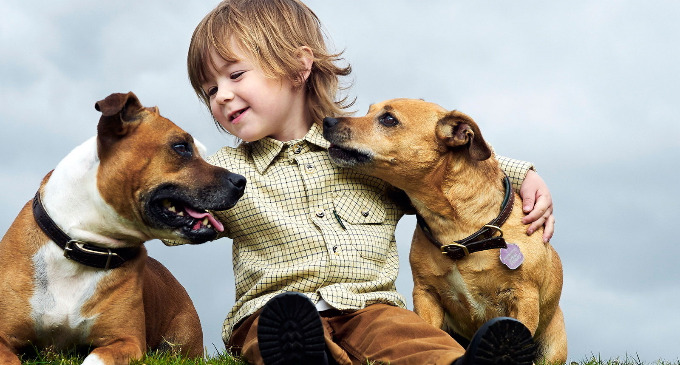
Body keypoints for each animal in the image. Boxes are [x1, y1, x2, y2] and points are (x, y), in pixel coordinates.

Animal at [324, 98, 568, 362]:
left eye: (388, 119)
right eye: (369, 111)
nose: (327, 121)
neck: (458, 230)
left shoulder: (523, 298)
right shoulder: (426, 294)